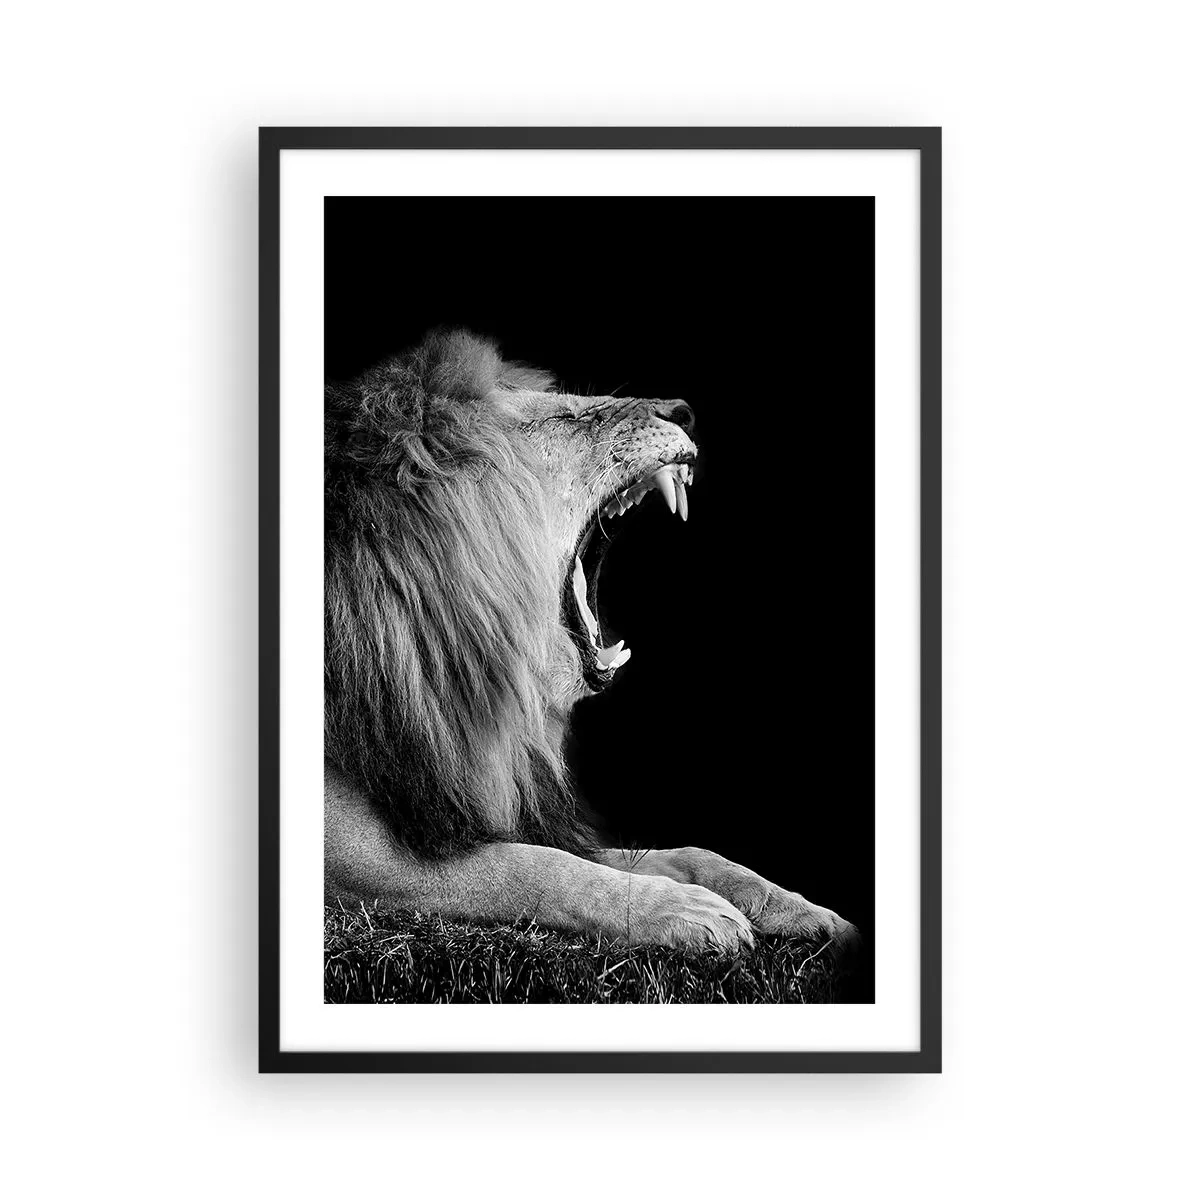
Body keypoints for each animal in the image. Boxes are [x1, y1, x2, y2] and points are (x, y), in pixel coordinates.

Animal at [324, 329, 859, 954]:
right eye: (565, 418)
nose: (685, 412)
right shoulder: (359, 855)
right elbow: (531, 867)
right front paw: (686, 910)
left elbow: (683, 852)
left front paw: (801, 908)